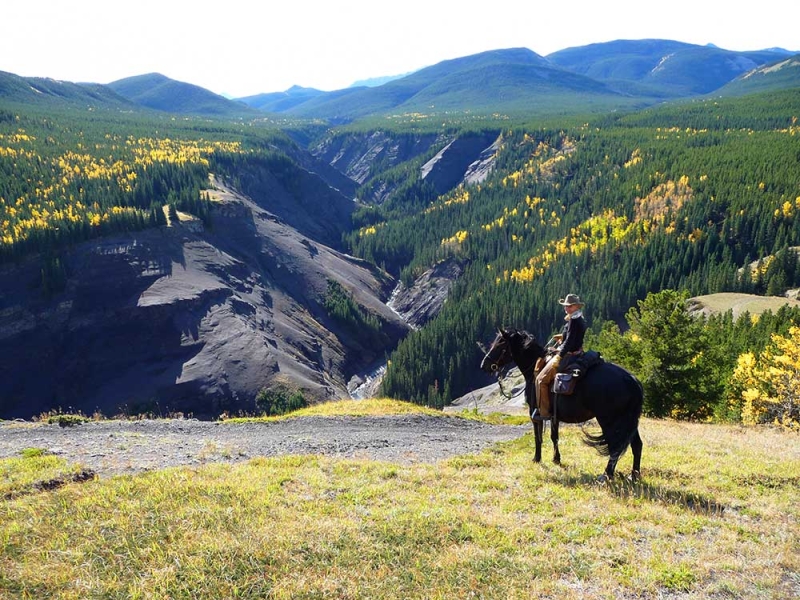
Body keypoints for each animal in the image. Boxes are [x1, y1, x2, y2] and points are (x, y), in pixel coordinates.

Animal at [482, 326, 644, 480]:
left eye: (500, 344)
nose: (484, 365)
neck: (534, 369)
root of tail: (632, 380)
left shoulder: (534, 413)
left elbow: (538, 437)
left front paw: (537, 459)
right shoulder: (554, 415)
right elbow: (554, 436)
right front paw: (556, 459)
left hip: (609, 421)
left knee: (615, 447)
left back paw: (606, 475)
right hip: (630, 421)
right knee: (636, 445)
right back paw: (634, 475)